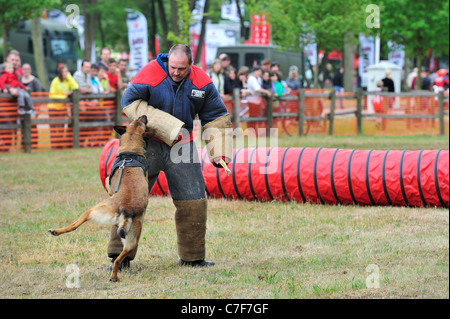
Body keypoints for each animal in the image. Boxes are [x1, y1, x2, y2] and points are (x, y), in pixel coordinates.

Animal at [49, 115, 154, 282]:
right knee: (119, 258)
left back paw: (56, 231)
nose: (144, 115)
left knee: (74, 225)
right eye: (138, 120)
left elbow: (105, 180)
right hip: (132, 239)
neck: (131, 152)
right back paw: (114, 276)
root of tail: (127, 209)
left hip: (92, 210)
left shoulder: (108, 184)